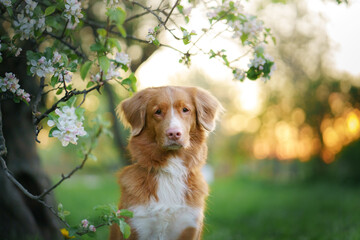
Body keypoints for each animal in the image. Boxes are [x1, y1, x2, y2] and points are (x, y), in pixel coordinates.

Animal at [109, 86, 222, 240]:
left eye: (185, 109)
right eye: (157, 111)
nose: (174, 133)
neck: (170, 169)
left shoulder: (189, 225)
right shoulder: (136, 224)